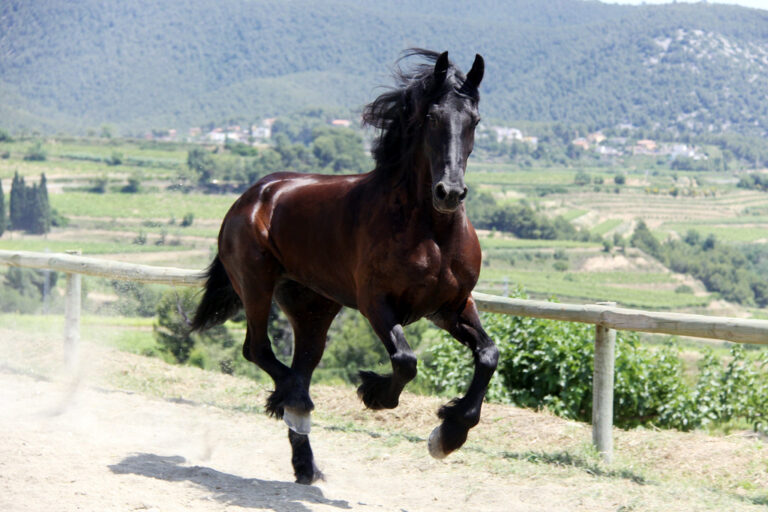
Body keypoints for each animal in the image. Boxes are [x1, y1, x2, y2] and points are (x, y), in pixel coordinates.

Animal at [191, 49, 498, 484]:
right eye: (432, 116)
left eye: (474, 119)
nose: (449, 193)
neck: (431, 231)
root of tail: (252, 195)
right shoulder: (376, 304)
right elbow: (405, 361)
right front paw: (373, 392)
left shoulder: (450, 307)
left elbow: (488, 354)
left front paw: (449, 434)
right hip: (255, 285)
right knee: (260, 351)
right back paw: (297, 403)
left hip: (313, 308)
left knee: (299, 363)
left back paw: (305, 460)